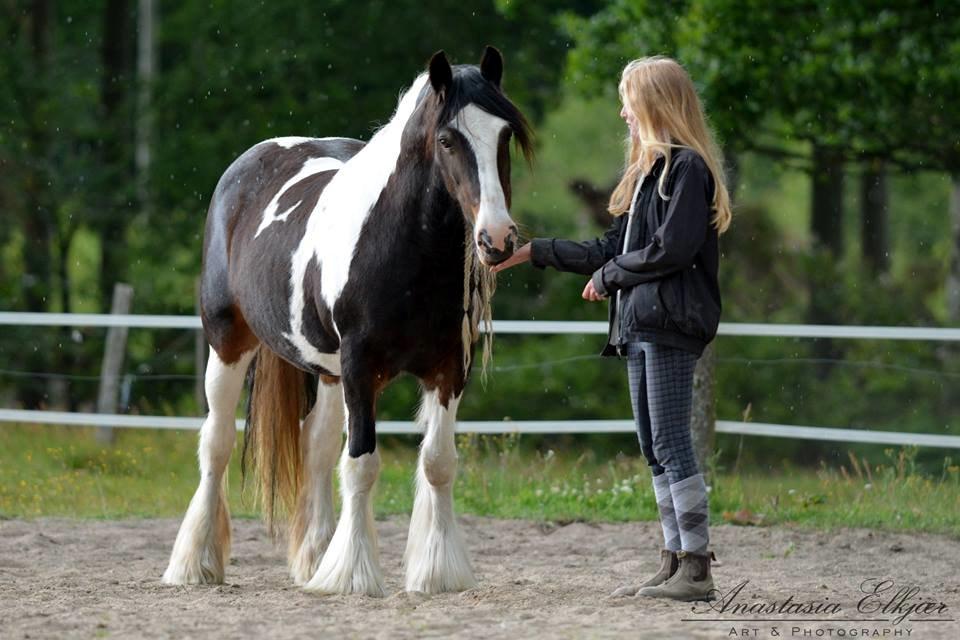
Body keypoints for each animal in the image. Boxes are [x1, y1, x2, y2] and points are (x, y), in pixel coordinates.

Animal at [158, 48, 532, 596]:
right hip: (228, 344)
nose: (497, 238)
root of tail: (251, 161)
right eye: (447, 140)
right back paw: (196, 564)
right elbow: (361, 466)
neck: (403, 249)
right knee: (217, 444)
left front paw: (438, 572)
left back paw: (314, 557)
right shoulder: (360, 368)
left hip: (329, 373)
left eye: (504, 135)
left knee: (314, 446)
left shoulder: (447, 370)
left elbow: (438, 464)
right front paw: (353, 574)